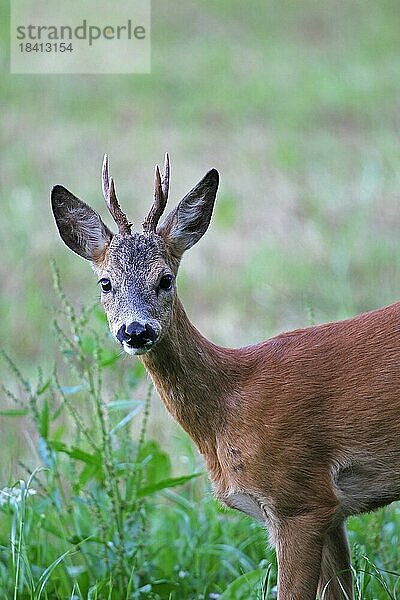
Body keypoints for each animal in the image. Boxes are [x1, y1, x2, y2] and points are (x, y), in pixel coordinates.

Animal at [51, 156, 400, 600]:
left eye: (165, 279)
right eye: (105, 282)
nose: (136, 331)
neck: (228, 404)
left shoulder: (301, 499)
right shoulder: (332, 511)